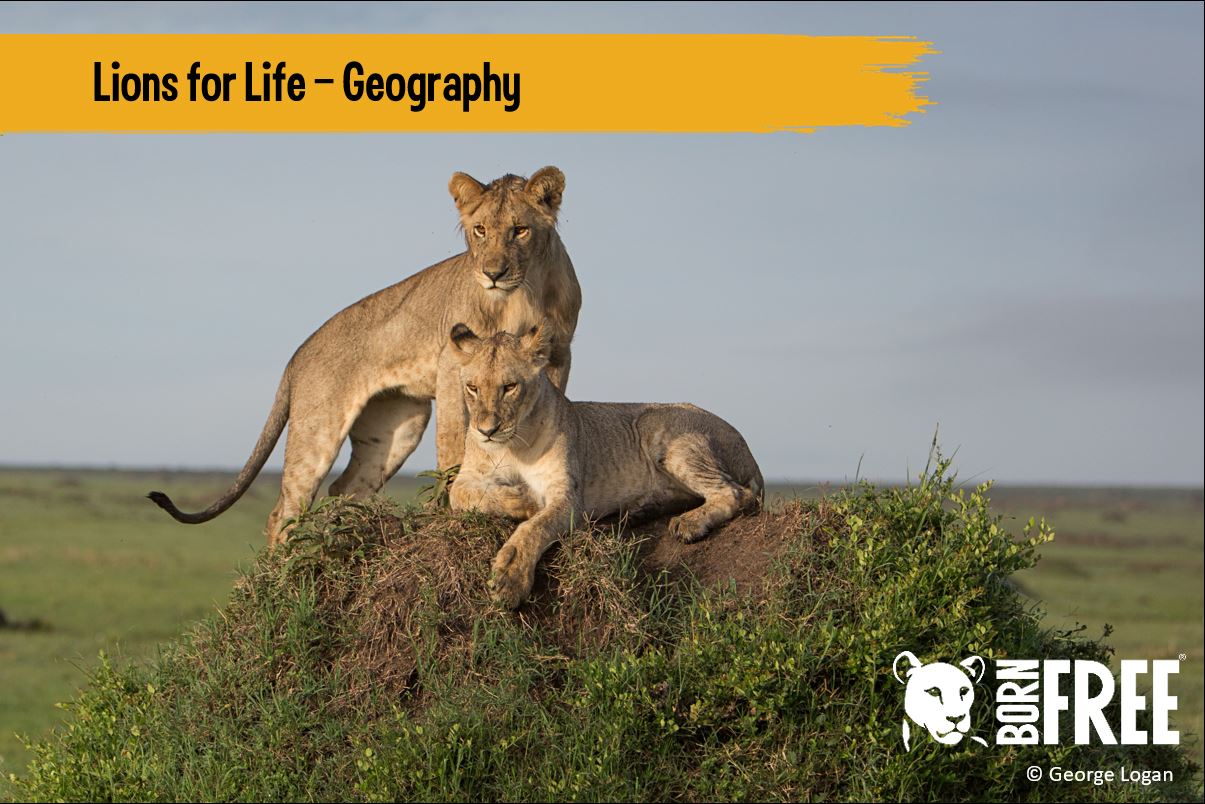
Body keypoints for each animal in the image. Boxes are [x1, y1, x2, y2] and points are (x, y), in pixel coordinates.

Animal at [148, 167, 582, 545]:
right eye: (480, 231)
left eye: (520, 230)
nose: (493, 273)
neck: (523, 293)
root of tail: (297, 353)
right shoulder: (452, 363)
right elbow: (453, 446)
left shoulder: (558, 357)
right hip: (318, 431)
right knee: (284, 511)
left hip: (398, 427)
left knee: (346, 487)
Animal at [445, 323, 764, 608]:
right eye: (472, 388)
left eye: (510, 387)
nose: (487, 430)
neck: (510, 446)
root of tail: (749, 451)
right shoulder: (467, 476)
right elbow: (458, 494)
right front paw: (522, 499)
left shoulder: (568, 498)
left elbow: (534, 528)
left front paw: (509, 577)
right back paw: (640, 510)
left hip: (657, 426)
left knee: (736, 492)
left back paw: (688, 523)